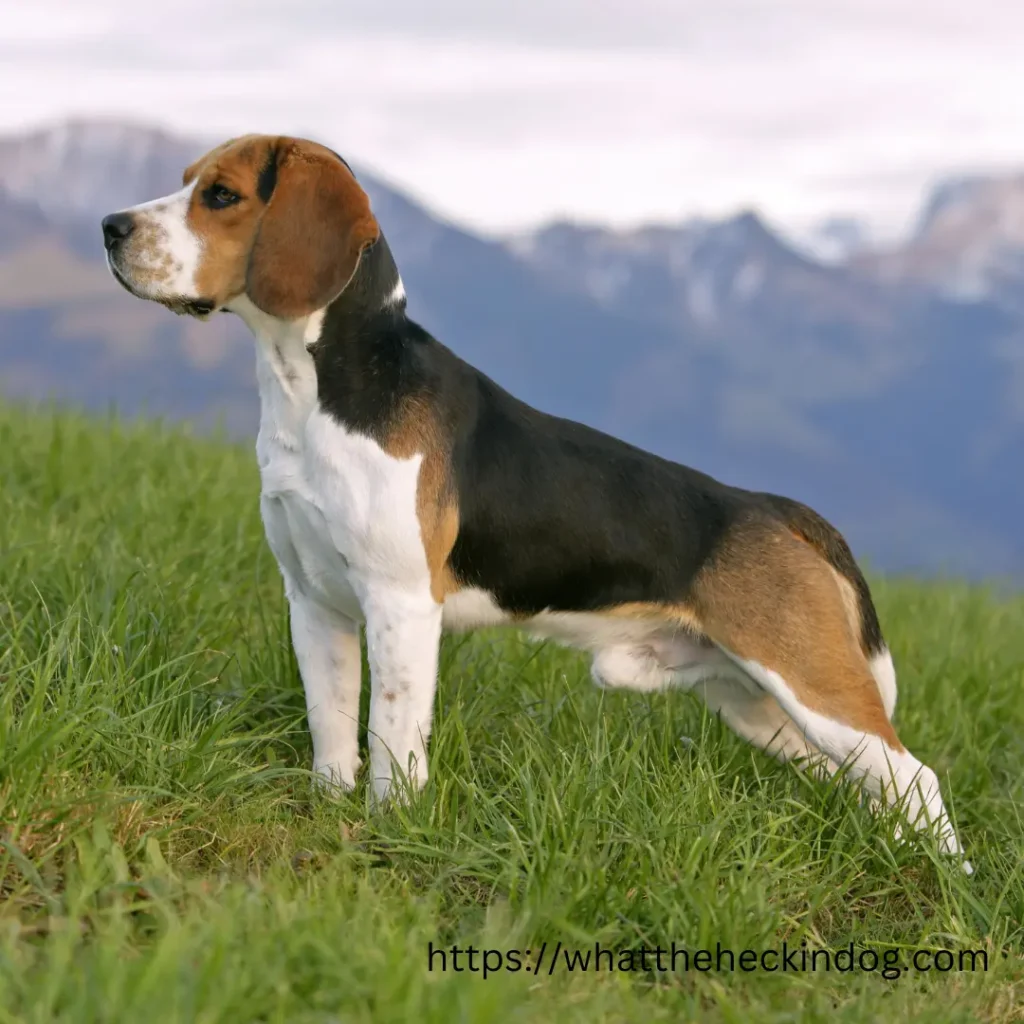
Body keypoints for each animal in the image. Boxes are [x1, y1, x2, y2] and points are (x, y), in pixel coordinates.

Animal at [101, 136, 966, 872]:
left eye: (221, 194)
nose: (109, 227)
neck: (314, 388)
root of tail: (775, 508)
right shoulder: (315, 602)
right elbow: (332, 726)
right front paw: (329, 811)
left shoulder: (400, 605)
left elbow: (391, 731)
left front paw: (391, 830)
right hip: (756, 706)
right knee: (875, 784)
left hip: (809, 682)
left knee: (915, 778)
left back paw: (948, 886)